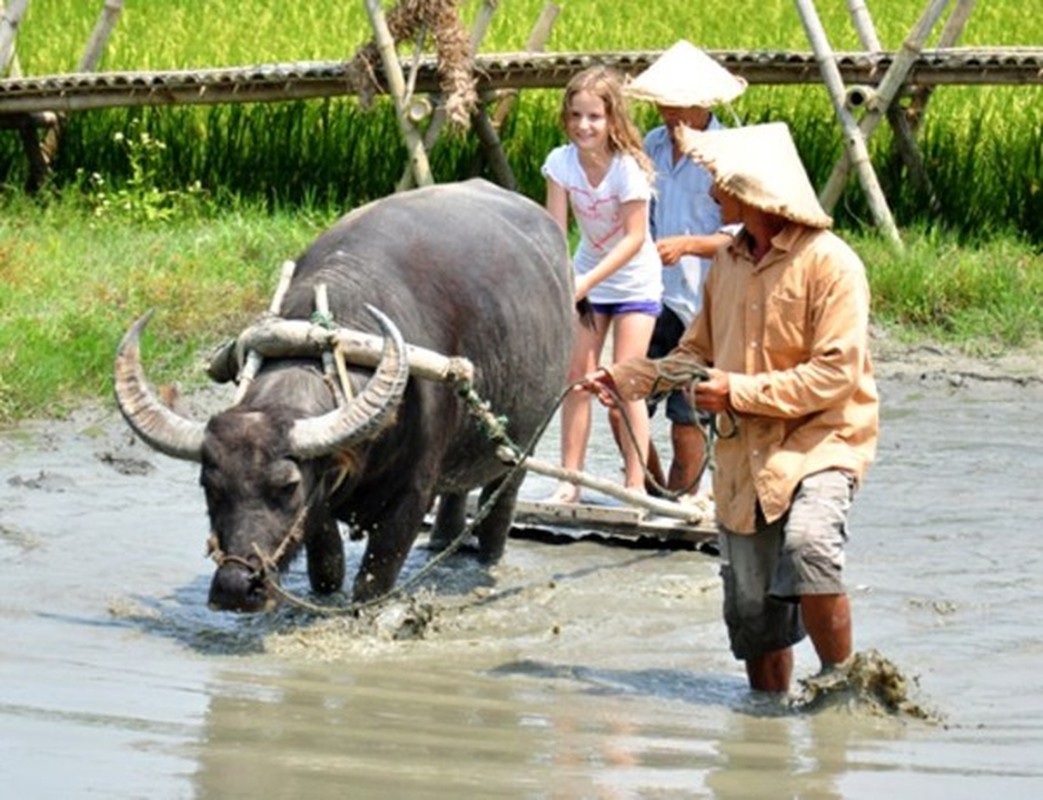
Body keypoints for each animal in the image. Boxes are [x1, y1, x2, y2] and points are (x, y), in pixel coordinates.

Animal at [117, 178, 575, 609]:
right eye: (209, 485)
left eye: (287, 486)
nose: (234, 587)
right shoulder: (320, 501)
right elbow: (327, 567)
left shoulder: (411, 498)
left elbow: (374, 579)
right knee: (458, 492)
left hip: (524, 443)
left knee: (501, 501)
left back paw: (486, 557)